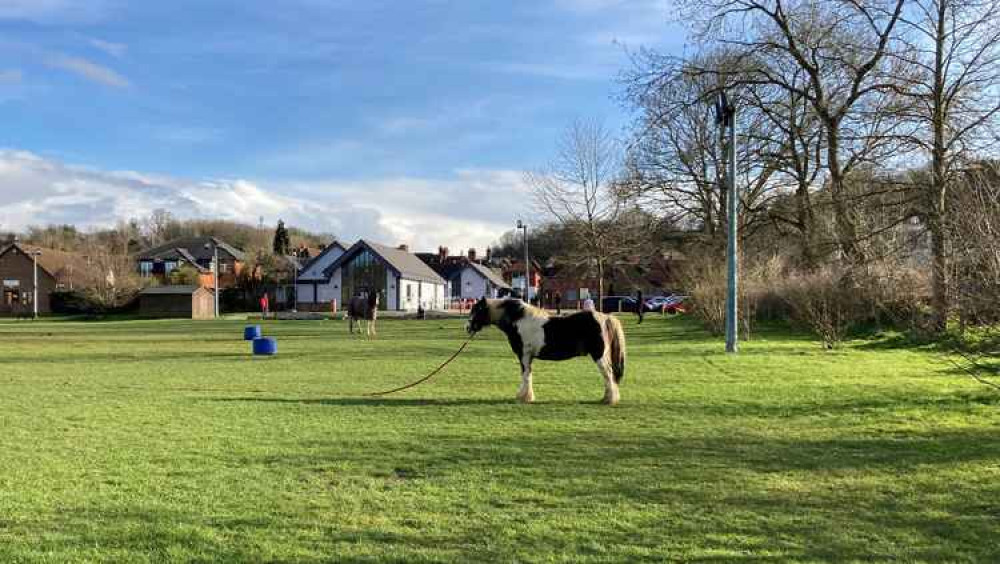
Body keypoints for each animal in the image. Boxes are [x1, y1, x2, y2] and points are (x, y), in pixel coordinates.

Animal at [466, 298, 624, 404]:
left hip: (599, 356)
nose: (467, 328)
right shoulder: (528, 357)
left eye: (477, 310)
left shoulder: (524, 356)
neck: (518, 320)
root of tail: (605, 317)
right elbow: (528, 375)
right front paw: (525, 396)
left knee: (608, 374)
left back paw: (610, 400)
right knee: (608, 376)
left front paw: (524, 397)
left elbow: (525, 375)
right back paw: (606, 398)